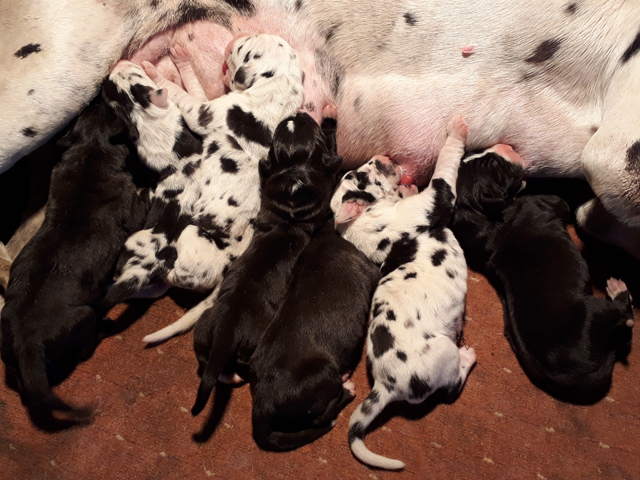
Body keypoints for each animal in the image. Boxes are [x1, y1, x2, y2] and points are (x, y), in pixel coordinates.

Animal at [0, 86, 148, 428]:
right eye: (114, 108)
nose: (101, 92)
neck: (92, 148)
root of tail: (27, 344)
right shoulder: (131, 210)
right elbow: (140, 205)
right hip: (85, 317)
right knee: (85, 343)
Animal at [139, 34, 306, 343]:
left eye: (242, 48)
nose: (236, 38)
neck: (276, 95)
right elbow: (194, 84)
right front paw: (181, 57)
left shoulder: (204, 112)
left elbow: (184, 95)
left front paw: (157, 76)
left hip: (191, 239)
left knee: (176, 277)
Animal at [191, 110, 343, 416]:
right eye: (314, 132)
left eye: (276, 139)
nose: (298, 113)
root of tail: (226, 332)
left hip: (204, 328)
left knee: (206, 362)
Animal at [330, 116, 476, 470]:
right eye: (360, 174)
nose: (382, 155)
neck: (364, 222)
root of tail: (385, 386)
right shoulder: (434, 199)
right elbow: (445, 167)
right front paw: (457, 129)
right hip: (444, 354)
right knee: (452, 387)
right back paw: (467, 358)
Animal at [450, 147, 635, 404]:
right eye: (495, 164)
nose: (505, 146)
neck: (480, 216)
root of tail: (579, 377)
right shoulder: (549, 202)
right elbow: (562, 199)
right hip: (594, 310)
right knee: (624, 314)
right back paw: (618, 289)